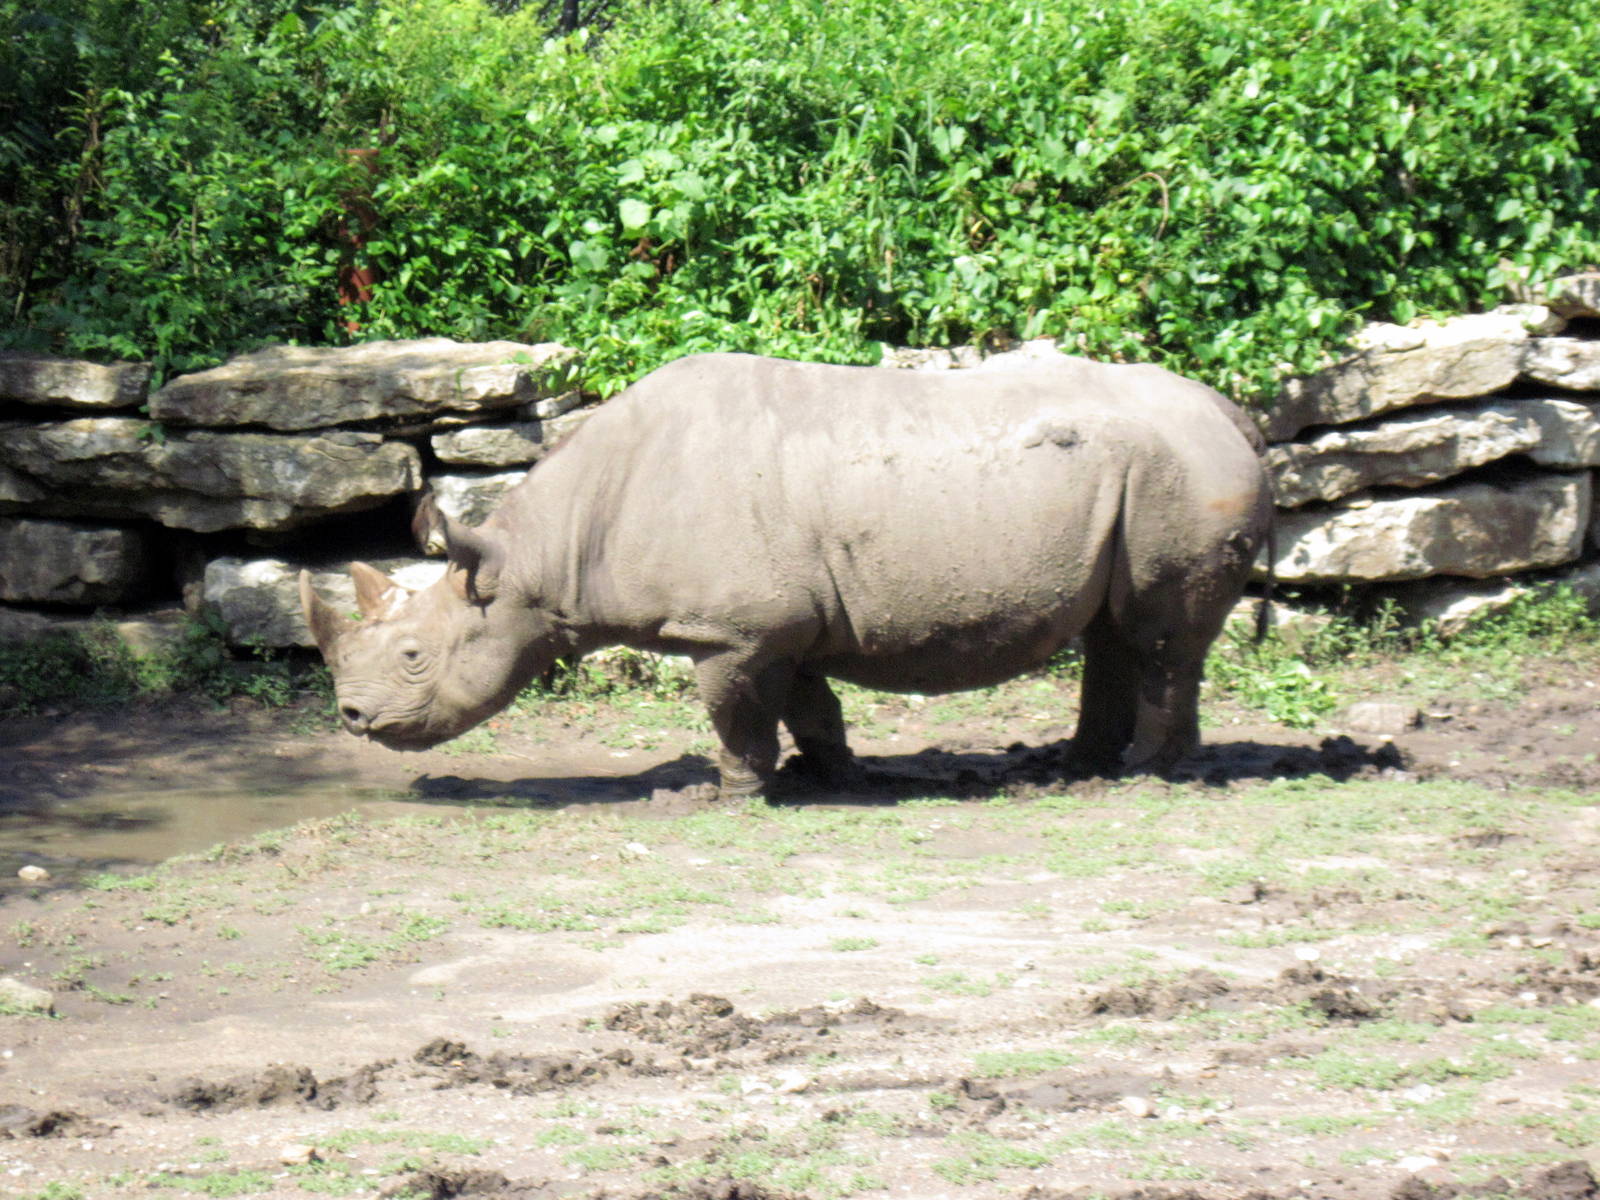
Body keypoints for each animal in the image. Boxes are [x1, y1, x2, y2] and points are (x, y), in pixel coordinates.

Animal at [301, 352, 1272, 796]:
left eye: (416, 659)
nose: (352, 720)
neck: (547, 553)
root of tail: (1237, 415)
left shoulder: (733, 627)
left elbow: (733, 709)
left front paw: (730, 790)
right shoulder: (783, 621)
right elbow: (813, 704)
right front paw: (835, 777)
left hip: (1182, 477)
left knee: (1158, 637)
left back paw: (1145, 773)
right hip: (1144, 475)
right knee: (1116, 631)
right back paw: (1079, 768)